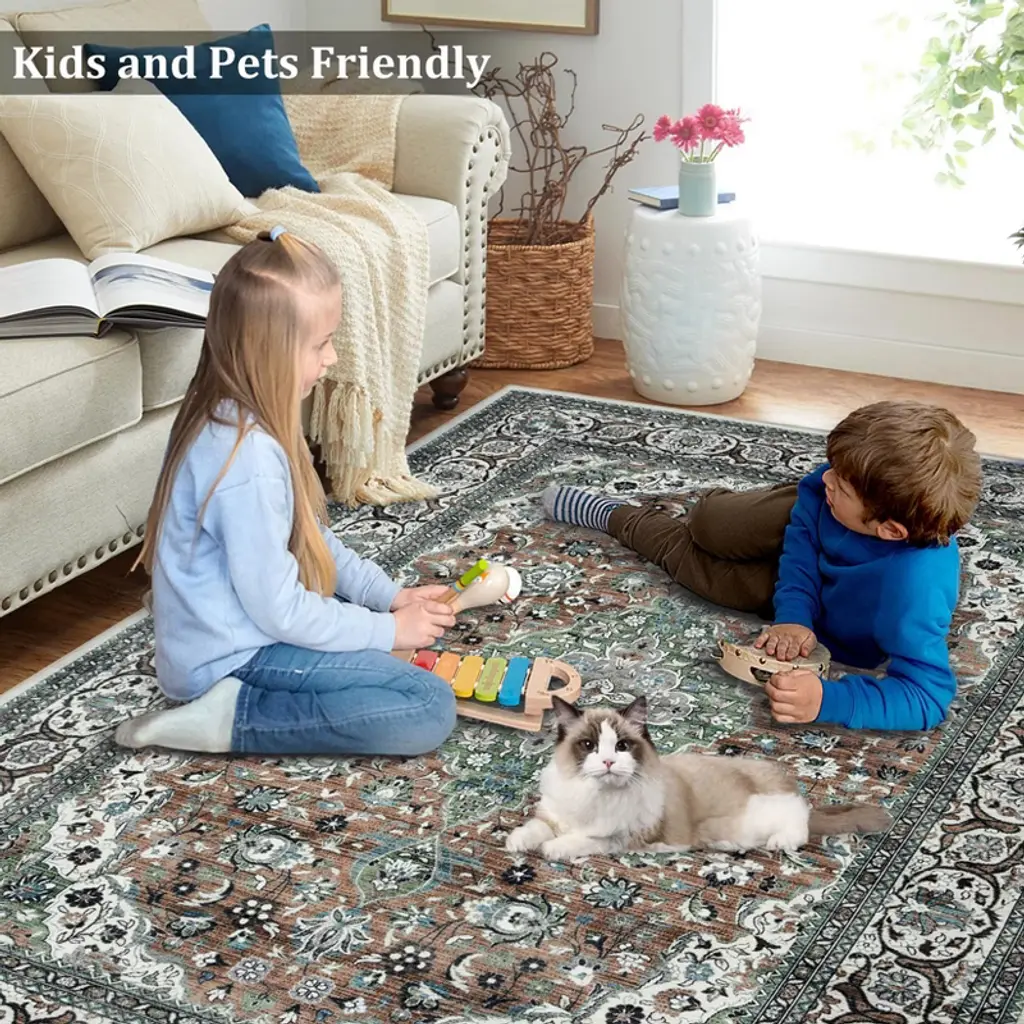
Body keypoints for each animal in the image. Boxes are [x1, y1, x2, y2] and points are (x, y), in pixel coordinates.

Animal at [505, 695, 893, 862]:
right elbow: (536, 828)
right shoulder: (554, 814)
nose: (608, 761)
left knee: (797, 824)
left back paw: (774, 842)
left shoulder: (617, 837)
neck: (590, 796)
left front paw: (551, 849)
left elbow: (574, 841)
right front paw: (517, 843)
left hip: (761, 815)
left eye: (622, 746)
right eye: (588, 746)